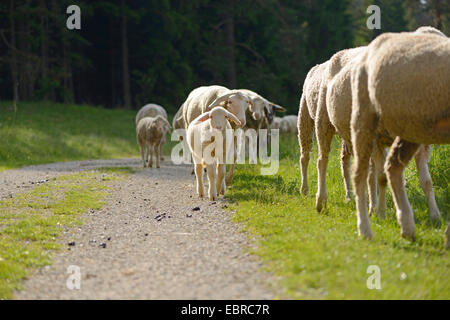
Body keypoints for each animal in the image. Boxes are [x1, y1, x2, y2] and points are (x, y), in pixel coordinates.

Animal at [352, 31, 450, 245]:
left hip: (411, 127)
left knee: (393, 166)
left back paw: (407, 226)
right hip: (364, 114)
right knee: (360, 174)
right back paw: (365, 228)